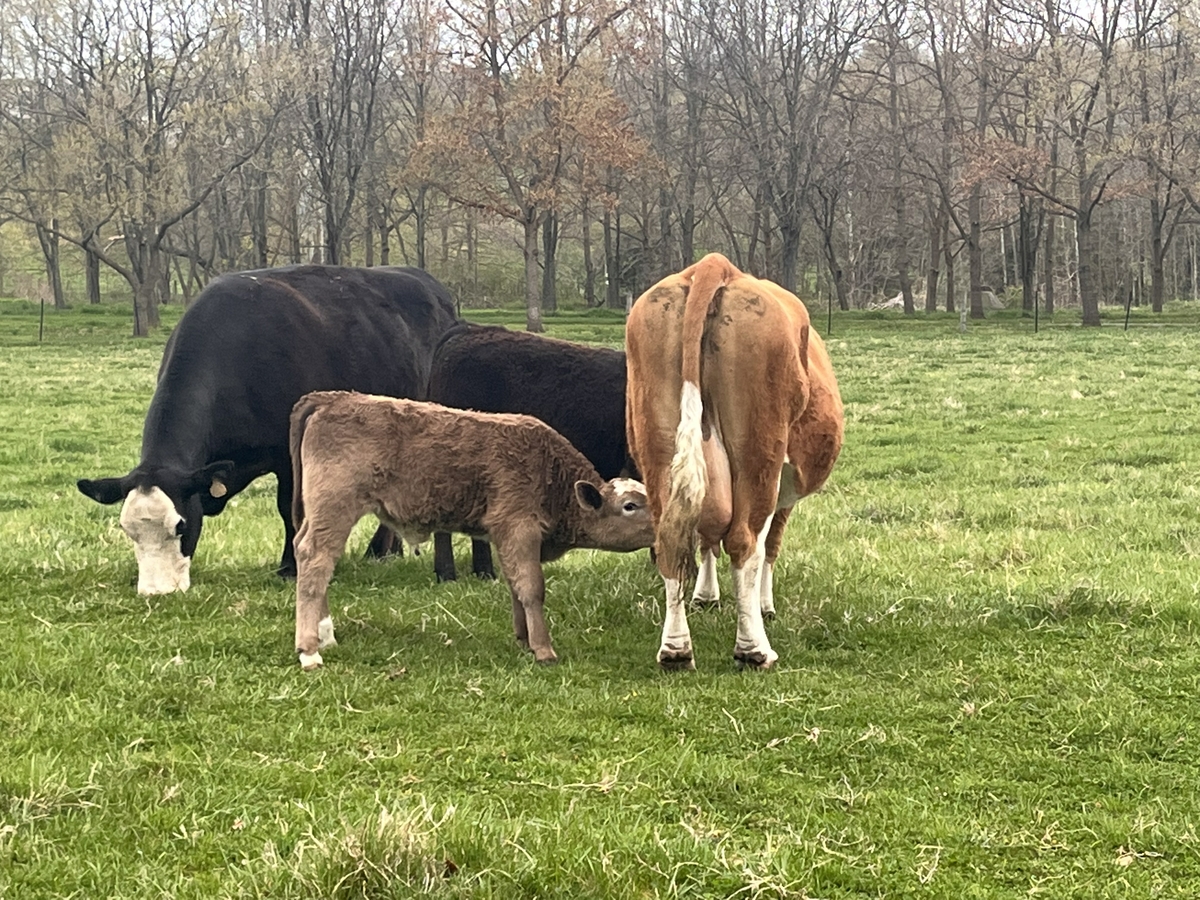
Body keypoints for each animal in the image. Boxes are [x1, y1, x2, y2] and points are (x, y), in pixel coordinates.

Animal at [76, 265, 459, 595]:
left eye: (179, 526)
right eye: (128, 530)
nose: (156, 592)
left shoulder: (290, 455)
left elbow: (288, 509)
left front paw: (290, 567)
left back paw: (381, 550)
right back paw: (385, 550)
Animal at [288, 391, 655, 669]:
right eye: (630, 505)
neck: (552, 474)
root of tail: (331, 398)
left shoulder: (506, 537)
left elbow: (515, 585)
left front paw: (524, 639)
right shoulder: (519, 526)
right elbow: (531, 587)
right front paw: (544, 649)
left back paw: (325, 634)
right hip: (336, 507)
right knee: (316, 558)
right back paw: (310, 650)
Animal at [625, 252, 844, 671]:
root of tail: (715, 265)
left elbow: (707, 535)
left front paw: (706, 595)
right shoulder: (784, 486)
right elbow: (770, 543)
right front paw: (764, 605)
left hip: (659, 445)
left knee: (673, 537)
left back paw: (676, 650)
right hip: (760, 451)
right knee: (745, 540)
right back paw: (754, 649)